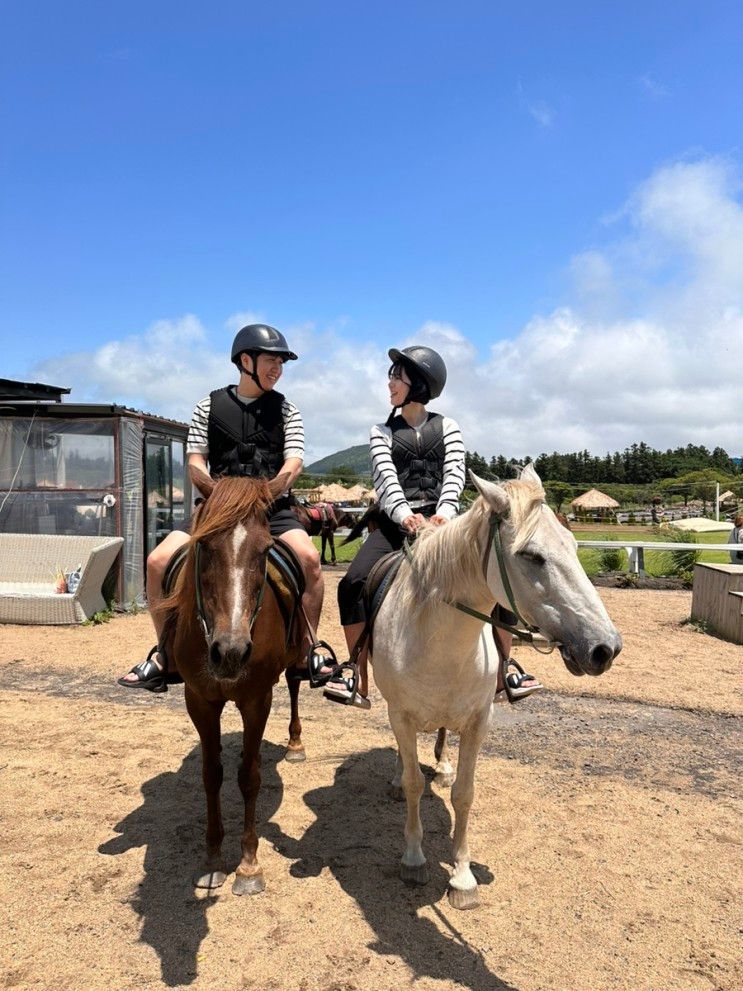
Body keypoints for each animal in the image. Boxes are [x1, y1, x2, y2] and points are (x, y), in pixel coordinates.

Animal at [158, 472, 306, 900]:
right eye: (205, 545)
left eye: (265, 549)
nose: (231, 652)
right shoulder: (199, 700)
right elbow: (212, 774)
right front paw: (212, 859)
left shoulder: (257, 700)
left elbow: (249, 777)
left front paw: (248, 865)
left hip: (295, 661)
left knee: (295, 684)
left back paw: (295, 743)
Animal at [372, 468, 620, 912]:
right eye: (532, 555)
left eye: (574, 546)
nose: (605, 648)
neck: (438, 642)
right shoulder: (400, 715)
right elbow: (415, 783)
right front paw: (414, 858)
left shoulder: (477, 721)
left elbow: (464, 793)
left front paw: (462, 876)